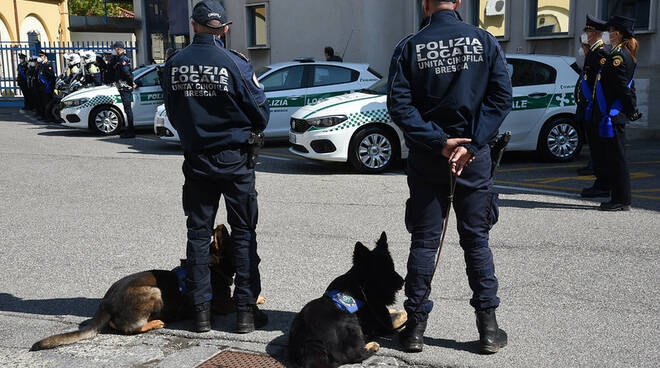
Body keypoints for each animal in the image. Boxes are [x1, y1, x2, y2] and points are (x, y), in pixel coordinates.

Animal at [30, 224, 262, 350]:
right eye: (236, 246)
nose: (257, 259)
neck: (214, 266)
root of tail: (105, 304)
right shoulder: (224, 305)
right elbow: (236, 299)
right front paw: (257, 298)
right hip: (153, 292)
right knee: (128, 329)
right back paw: (153, 323)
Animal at [288, 233, 408, 368]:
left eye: (392, 266)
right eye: (383, 271)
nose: (403, 281)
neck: (360, 283)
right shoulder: (385, 323)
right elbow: (398, 317)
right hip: (351, 323)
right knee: (353, 355)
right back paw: (372, 345)